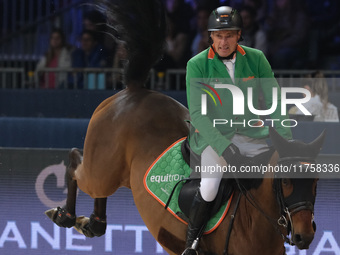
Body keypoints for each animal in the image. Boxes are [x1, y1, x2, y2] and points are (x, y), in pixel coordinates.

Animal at [44, 0, 324, 254]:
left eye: (315, 180)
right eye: (285, 180)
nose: (304, 236)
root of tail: (136, 91)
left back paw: (93, 223)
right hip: (101, 169)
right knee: (76, 163)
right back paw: (65, 215)